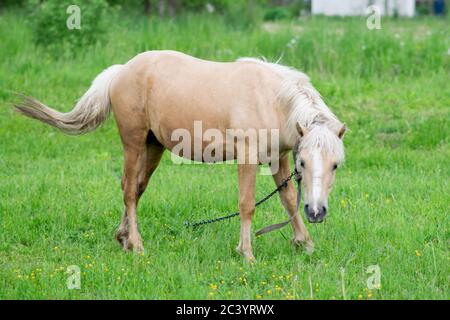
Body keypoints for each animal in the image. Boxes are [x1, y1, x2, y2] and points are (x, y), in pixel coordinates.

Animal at [13, 49, 344, 260]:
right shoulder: (247, 158)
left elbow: (287, 199)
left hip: (153, 147)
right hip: (133, 142)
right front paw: (247, 253)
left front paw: (305, 243)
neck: (271, 100)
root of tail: (122, 70)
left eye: (336, 166)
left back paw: (124, 239)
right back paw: (137, 246)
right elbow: (247, 205)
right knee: (130, 192)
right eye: (304, 162)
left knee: (134, 188)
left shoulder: (279, 158)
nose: (317, 212)